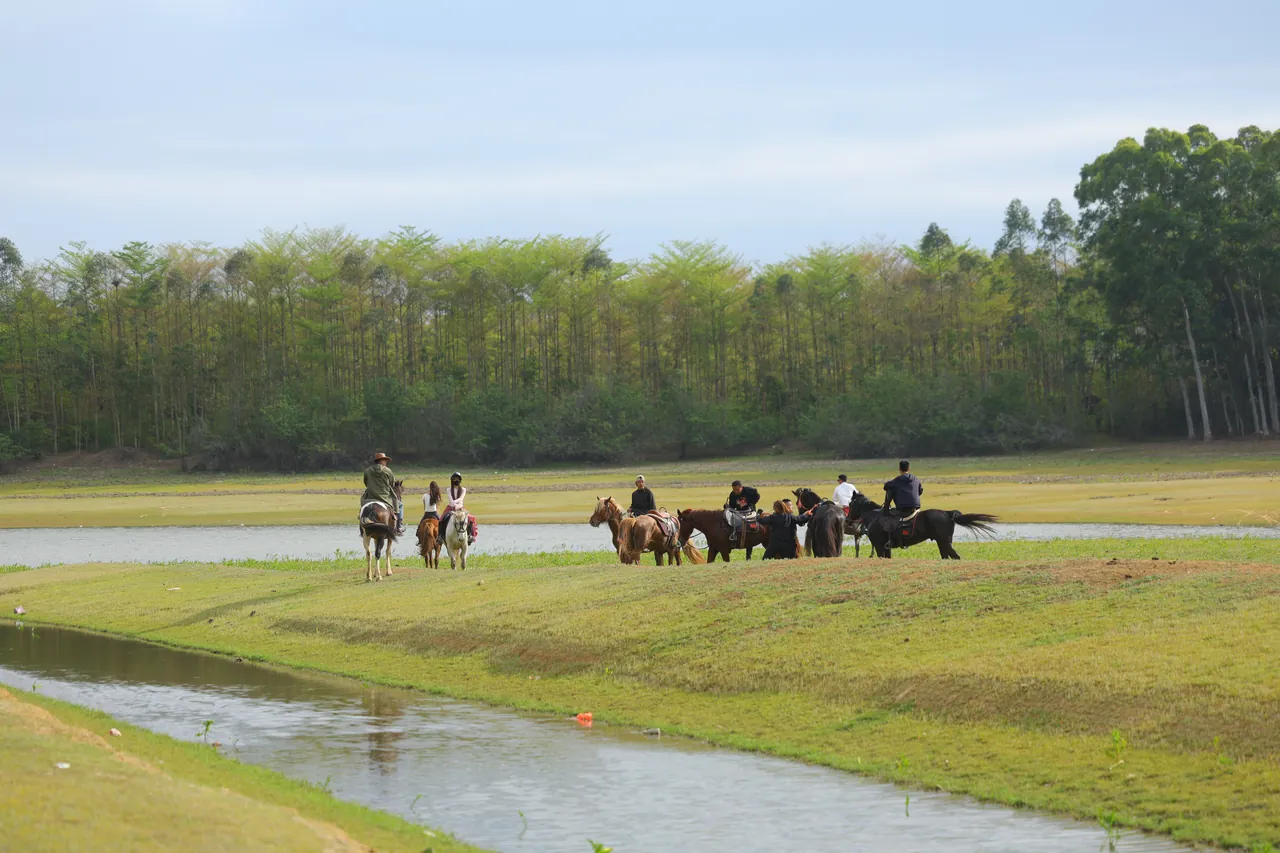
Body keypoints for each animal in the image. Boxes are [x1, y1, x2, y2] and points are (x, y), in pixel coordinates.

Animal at [846, 492, 998, 559]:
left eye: (850, 503)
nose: (848, 520)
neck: (873, 516)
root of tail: (947, 513)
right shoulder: (885, 547)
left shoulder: (879, 546)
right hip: (943, 542)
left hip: (944, 542)